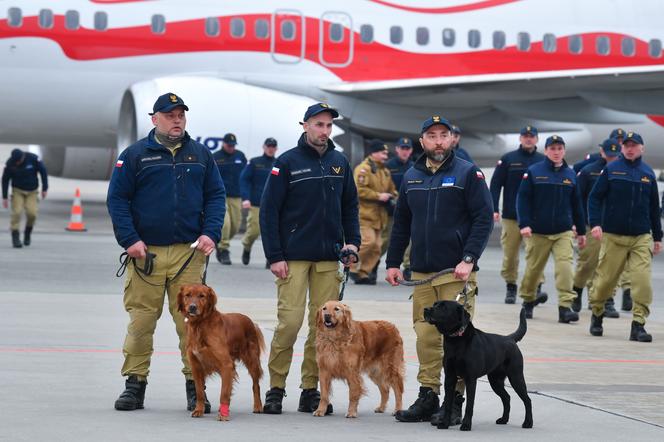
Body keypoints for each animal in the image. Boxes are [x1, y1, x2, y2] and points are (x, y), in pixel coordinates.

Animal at [179, 284, 268, 422]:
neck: (200, 325)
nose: (192, 307)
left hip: (252, 361)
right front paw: (199, 410)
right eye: (187, 295)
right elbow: (200, 392)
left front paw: (224, 414)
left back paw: (257, 406)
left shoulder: (226, 365)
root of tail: (251, 321)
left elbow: (224, 393)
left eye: (202, 296)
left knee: (255, 385)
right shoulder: (196, 366)